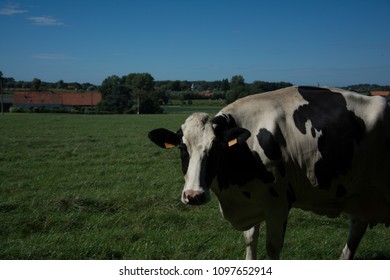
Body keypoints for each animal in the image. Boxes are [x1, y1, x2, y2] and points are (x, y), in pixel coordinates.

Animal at [147, 86, 390, 260]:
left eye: (216, 148)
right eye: (182, 147)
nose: (194, 196)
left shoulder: (278, 204)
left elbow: (272, 249)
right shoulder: (253, 201)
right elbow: (249, 239)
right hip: (361, 197)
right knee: (355, 232)